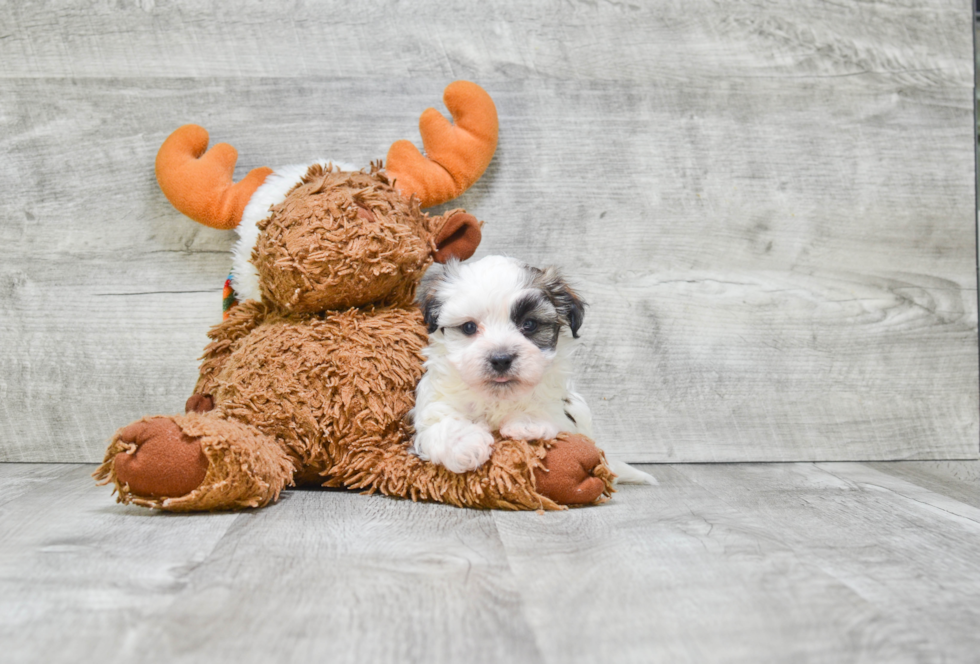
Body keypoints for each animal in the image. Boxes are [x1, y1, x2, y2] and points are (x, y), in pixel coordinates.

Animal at [410, 254, 656, 482]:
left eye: (529, 324)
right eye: (469, 327)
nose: (501, 359)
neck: (498, 398)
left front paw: (528, 421)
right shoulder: (435, 400)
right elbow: (442, 420)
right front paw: (464, 444)